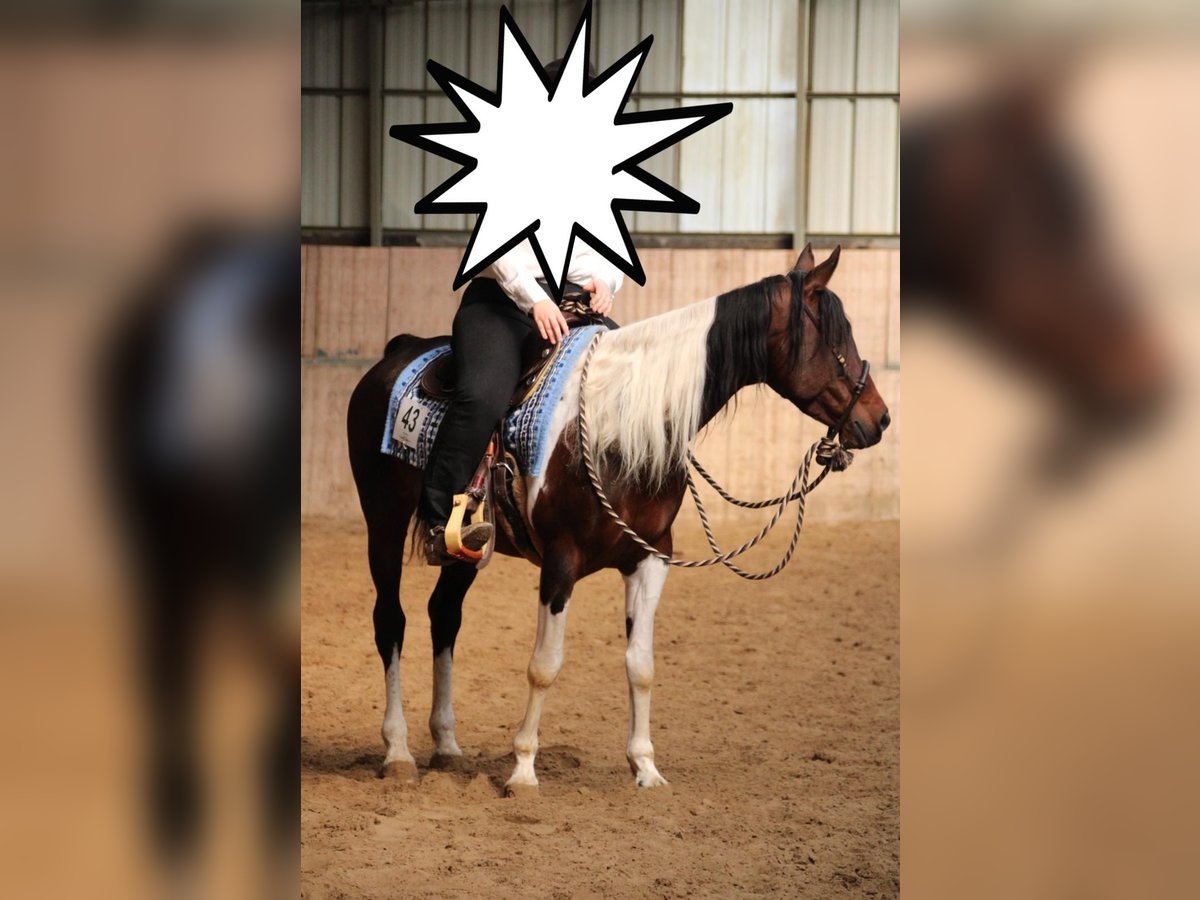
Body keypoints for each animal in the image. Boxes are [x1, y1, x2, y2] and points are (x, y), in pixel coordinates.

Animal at [346, 244, 890, 790]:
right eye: (835, 338)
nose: (880, 418)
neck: (620, 426)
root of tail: (397, 351)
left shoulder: (650, 559)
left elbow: (641, 664)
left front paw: (645, 767)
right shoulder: (560, 562)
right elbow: (545, 664)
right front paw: (522, 770)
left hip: (470, 548)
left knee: (444, 615)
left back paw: (447, 746)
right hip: (383, 523)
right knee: (390, 620)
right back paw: (398, 752)